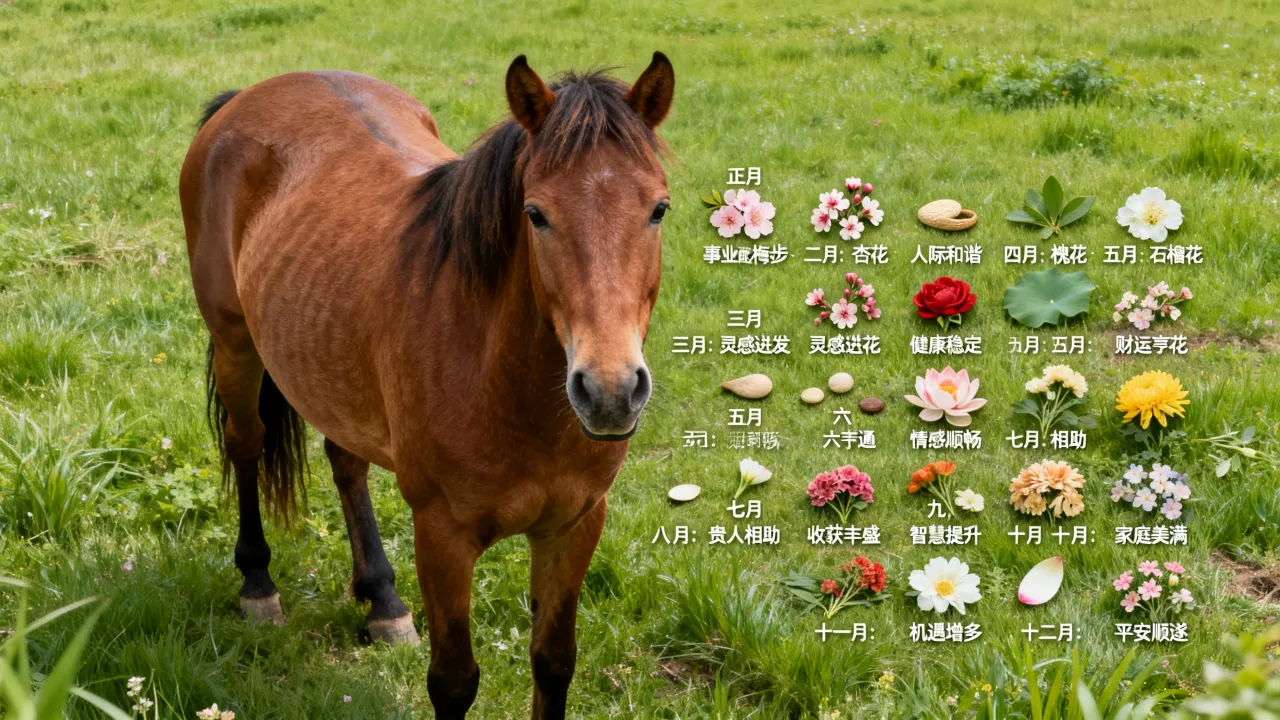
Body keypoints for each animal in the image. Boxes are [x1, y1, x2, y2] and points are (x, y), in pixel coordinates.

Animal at [178, 52, 674, 718]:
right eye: (536, 213)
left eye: (658, 209)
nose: (610, 392)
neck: (500, 383)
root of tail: (243, 99)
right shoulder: (442, 536)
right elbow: (454, 680)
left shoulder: (574, 526)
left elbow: (553, 663)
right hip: (236, 344)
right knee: (246, 444)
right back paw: (258, 585)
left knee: (346, 461)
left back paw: (382, 601)